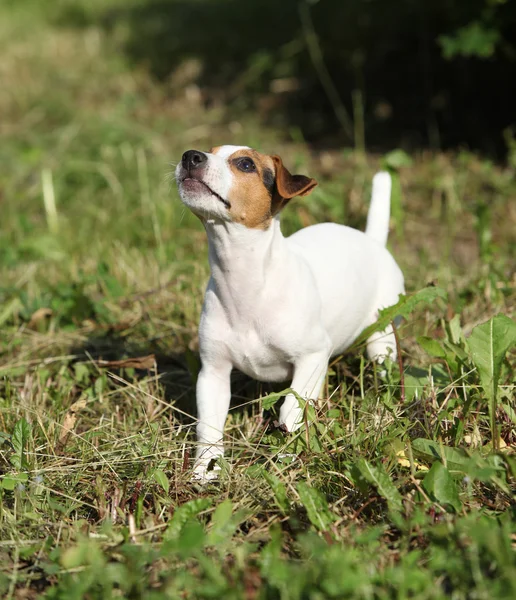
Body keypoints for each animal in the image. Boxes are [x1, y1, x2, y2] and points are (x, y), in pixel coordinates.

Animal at [175, 148, 406, 480]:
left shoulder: (313, 357)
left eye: (246, 164)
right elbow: (209, 425)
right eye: (208, 149)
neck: (246, 284)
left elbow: (290, 411)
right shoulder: (213, 372)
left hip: (381, 339)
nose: (190, 156)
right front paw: (205, 469)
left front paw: (287, 455)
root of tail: (372, 241)